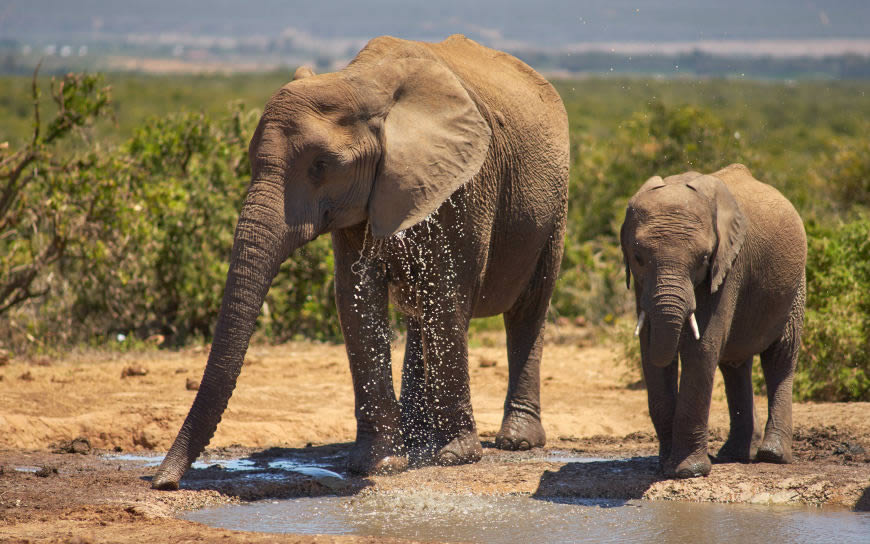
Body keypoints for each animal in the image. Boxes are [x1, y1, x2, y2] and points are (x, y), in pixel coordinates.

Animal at [152, 36, 568, 490]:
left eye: (321, 167)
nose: (163, 482)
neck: (363, 83)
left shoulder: (466, 184)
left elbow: (447, 294)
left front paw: (456, 458)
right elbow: (356, 298)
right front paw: (380, 464)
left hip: (554, 204)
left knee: (528, 308)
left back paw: (516, 441)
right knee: (420, 312)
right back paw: (417, 440)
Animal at [624, 164, 808, 478]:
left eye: (704, 258)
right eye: (638, 258)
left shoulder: (728, 267)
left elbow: (702, 348)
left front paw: (688, 471)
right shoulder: (640, 284)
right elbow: (650, 350)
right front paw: (664, 467)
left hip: (796, 285)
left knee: (781, 356)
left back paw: (772, 455)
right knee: (734, 365)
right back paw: (734, 455)